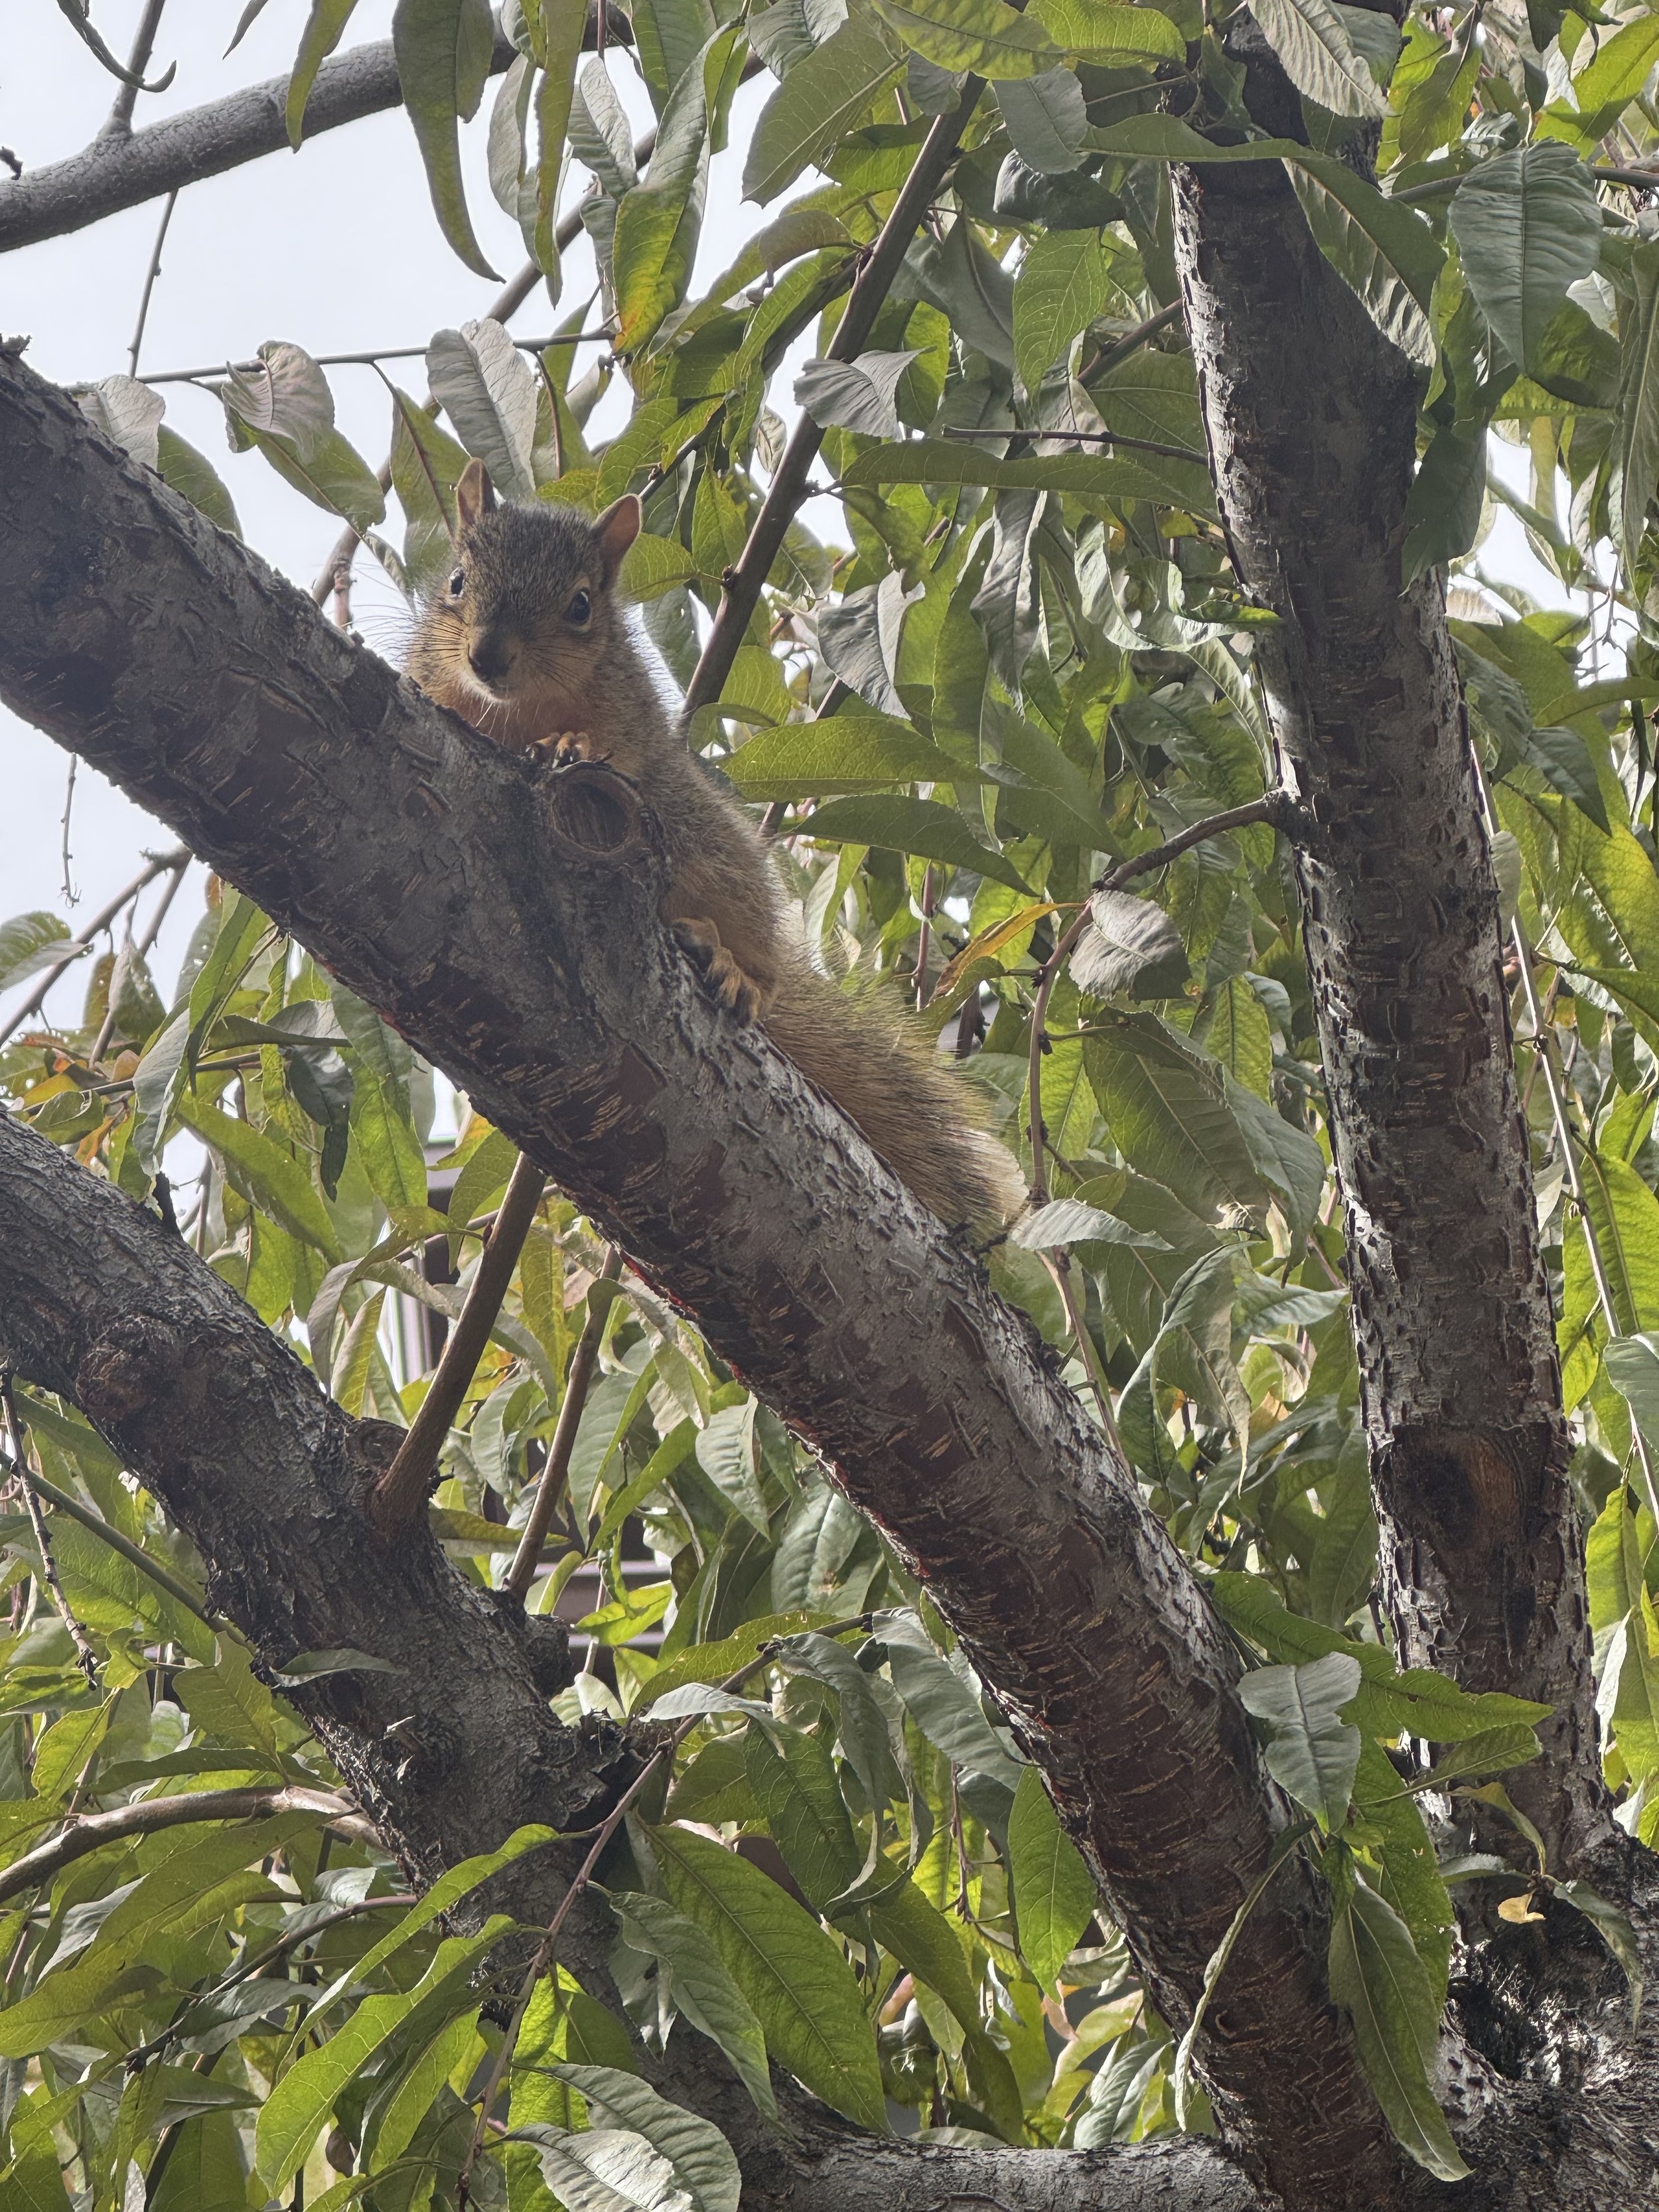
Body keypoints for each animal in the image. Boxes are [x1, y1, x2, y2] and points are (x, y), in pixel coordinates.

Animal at [406, 459, 1025, 1233]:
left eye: (580, 605)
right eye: (458, 581)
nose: (488, 655)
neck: (516, 709)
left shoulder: (634, 722)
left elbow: (617, 749)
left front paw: (569, 744)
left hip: (726, 864)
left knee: (760, 961)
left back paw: (736, 970)